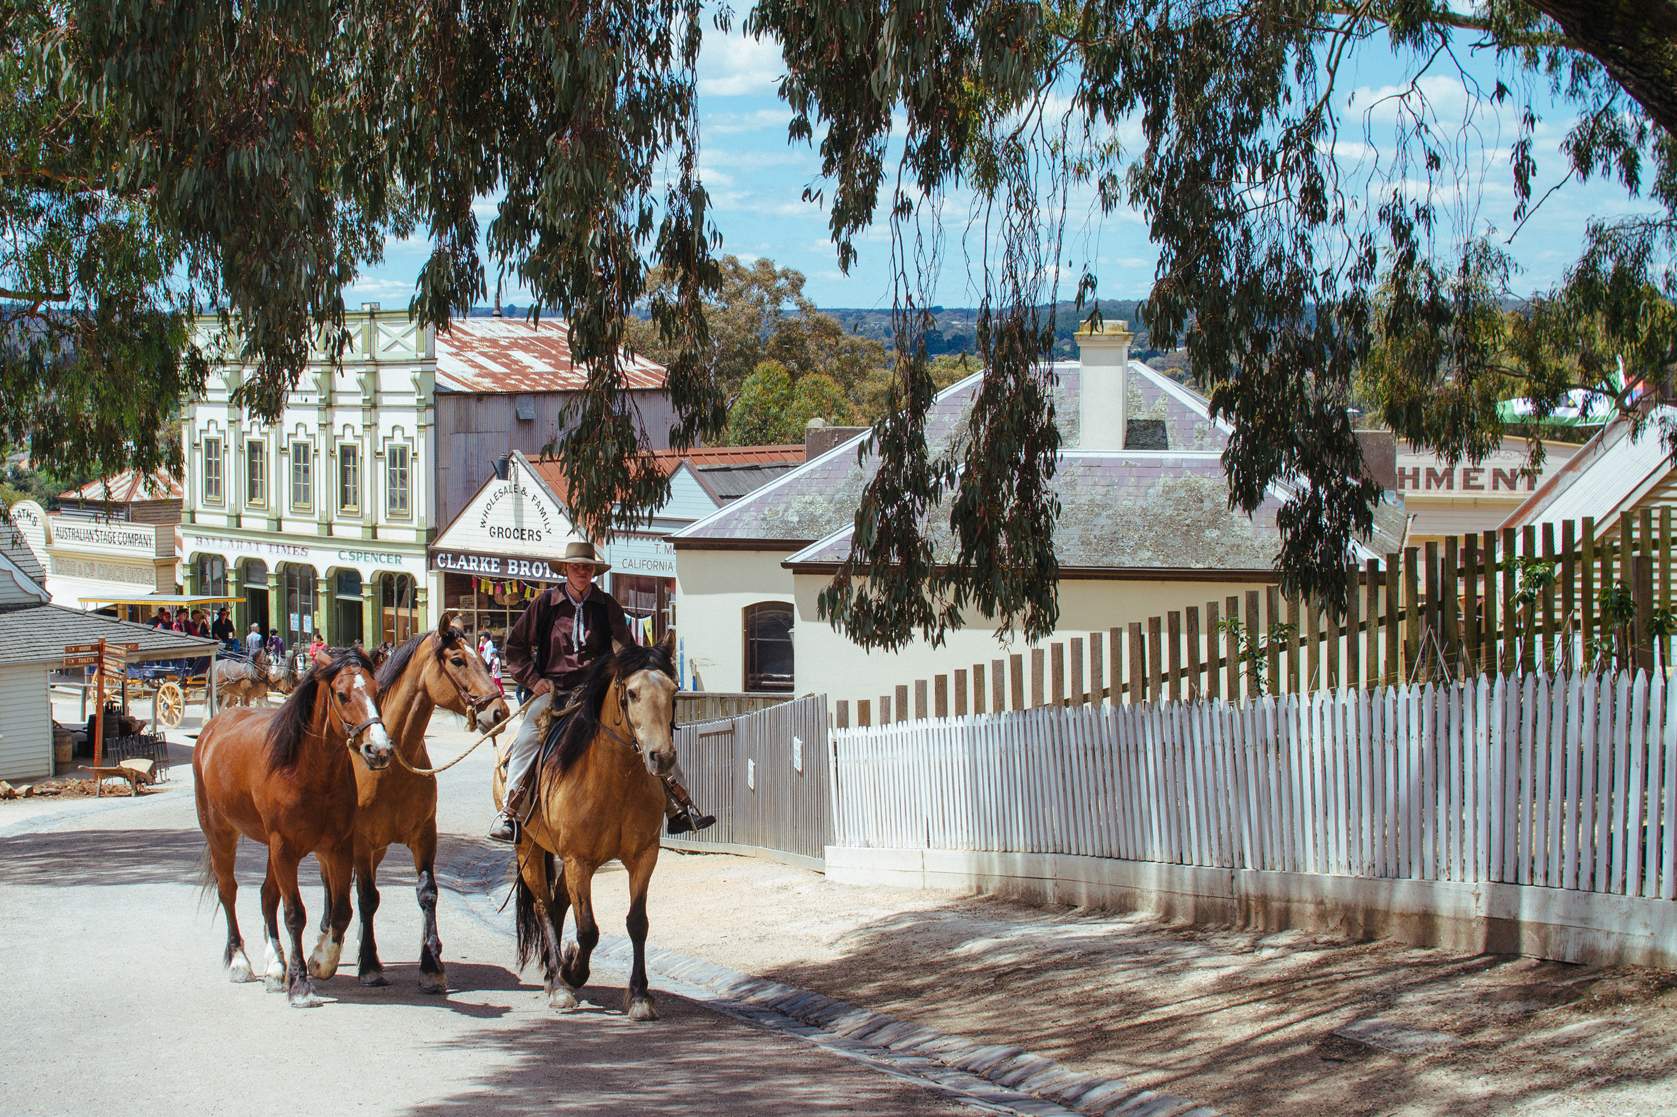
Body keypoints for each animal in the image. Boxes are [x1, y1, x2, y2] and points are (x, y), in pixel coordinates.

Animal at [196, 640, 392, 1006]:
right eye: (342, 694)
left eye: (378, 690)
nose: (379, 749)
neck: (308, 771)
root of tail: (215, 726)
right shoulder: (285, 849)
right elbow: (294, 914)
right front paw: (301, 985)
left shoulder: (337, 848)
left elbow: (341, 911)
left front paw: (322, 962)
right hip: (222, 835)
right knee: (229, 891)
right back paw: (240, 962)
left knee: (266, 895)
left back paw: (275, 966)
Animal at [325, 613, 509, 986]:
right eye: (457, 660)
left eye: (484, 659)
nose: (499, 712)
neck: (389, 764)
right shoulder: (361, 842)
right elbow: (367, 897)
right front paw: (370, 965)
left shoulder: (424, 835)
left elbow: (427, 893)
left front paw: (431, 966)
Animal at [499, 630, 677, 1013]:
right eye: (632, 693)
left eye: (673, 690)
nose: (662, 757)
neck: (615, 780)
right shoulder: (578, 859)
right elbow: (588, 930)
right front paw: (573, 974)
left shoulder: (643, 856)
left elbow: (637, 923)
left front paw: (639, 995)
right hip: (530, 849)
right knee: (543, 906)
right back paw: (558, 982)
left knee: (557, 902)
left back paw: (554, 973)